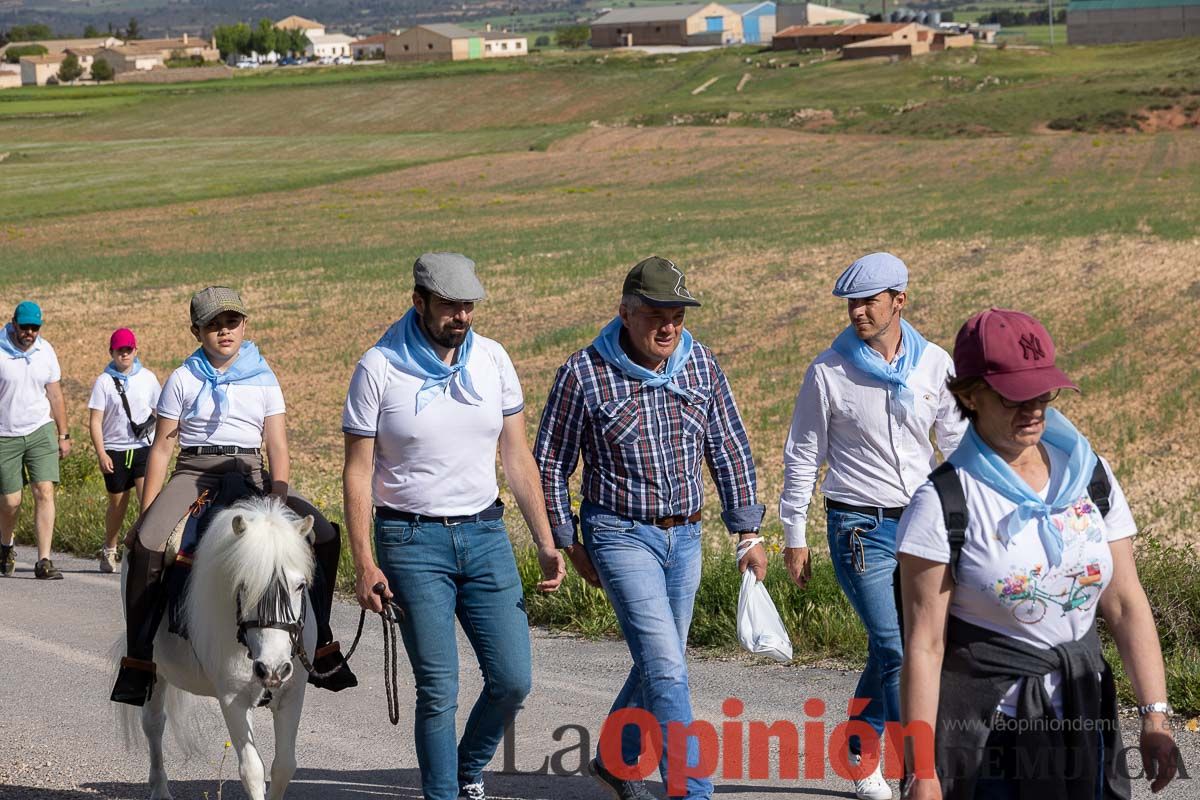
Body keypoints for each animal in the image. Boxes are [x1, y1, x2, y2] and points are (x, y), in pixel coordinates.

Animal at [121, 501, 319, 800]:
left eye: (299, 586)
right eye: (244, 585)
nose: (272, 668)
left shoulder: (291, 696)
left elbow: (284, 766)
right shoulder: (232, 699)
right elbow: (252, 770)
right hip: (156, 672)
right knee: (154, 723)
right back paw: (160, 789)